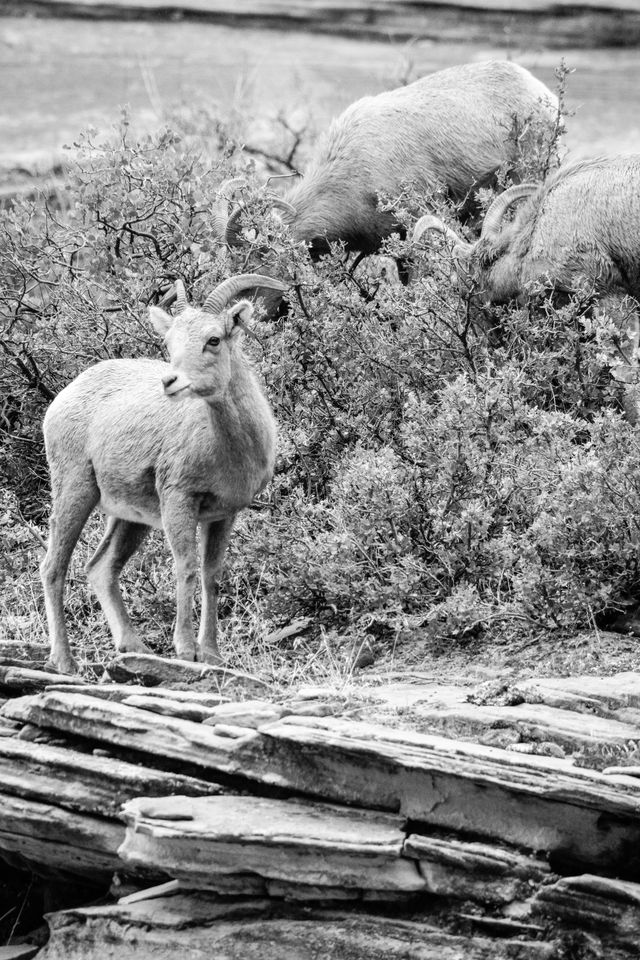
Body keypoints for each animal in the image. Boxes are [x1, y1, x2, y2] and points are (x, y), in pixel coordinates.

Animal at [41, 272, 286, 676]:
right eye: (169, 343)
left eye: (213, 339)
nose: (170, 382)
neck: (229, 448)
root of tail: (62, 399)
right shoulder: (178, 500)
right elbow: (185, 568)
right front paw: (186, 650)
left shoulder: (223, 515)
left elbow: (211, 575)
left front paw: (213, 655)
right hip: (74, 490)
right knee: (53, 567)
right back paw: (64, 661)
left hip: (129, 518)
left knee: (100, 568)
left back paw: (134, 647)